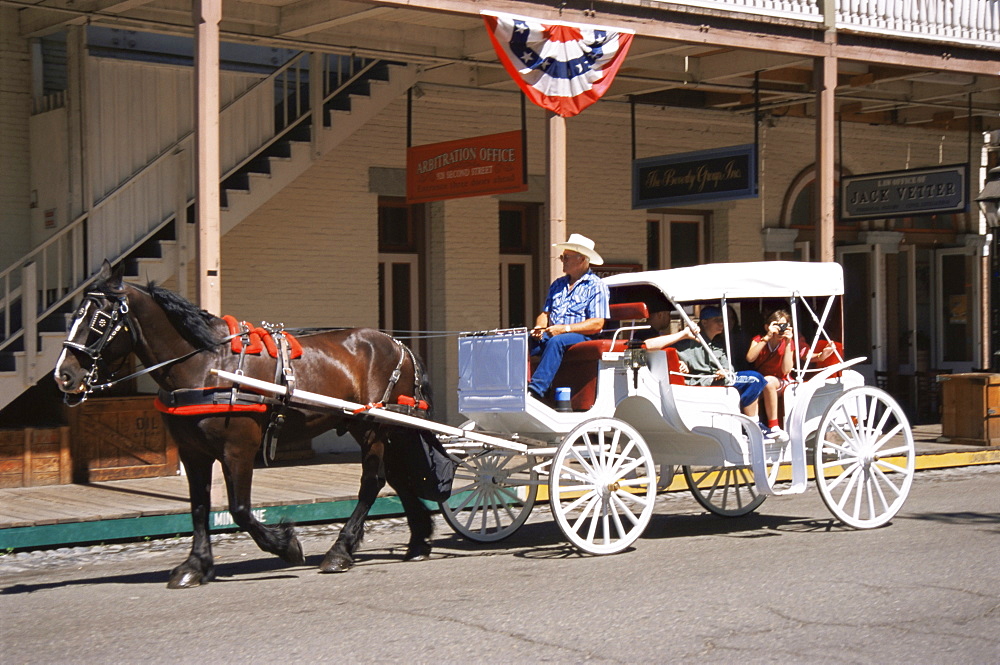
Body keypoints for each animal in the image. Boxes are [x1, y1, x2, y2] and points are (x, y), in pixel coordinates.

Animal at [54, 262, 442, 588]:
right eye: (73, 316)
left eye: (98, 320)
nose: (63, 376)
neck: (208, 364)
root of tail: (399, 344)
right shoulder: (193, 452)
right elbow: (199, 506)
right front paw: (195, 565)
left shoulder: (238, 448)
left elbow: (240, 509)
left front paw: (286, 546)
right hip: (384, 427)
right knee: (398, 477)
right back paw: (417, 540)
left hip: (373, 427)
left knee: (372, 481)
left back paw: (340, 551)